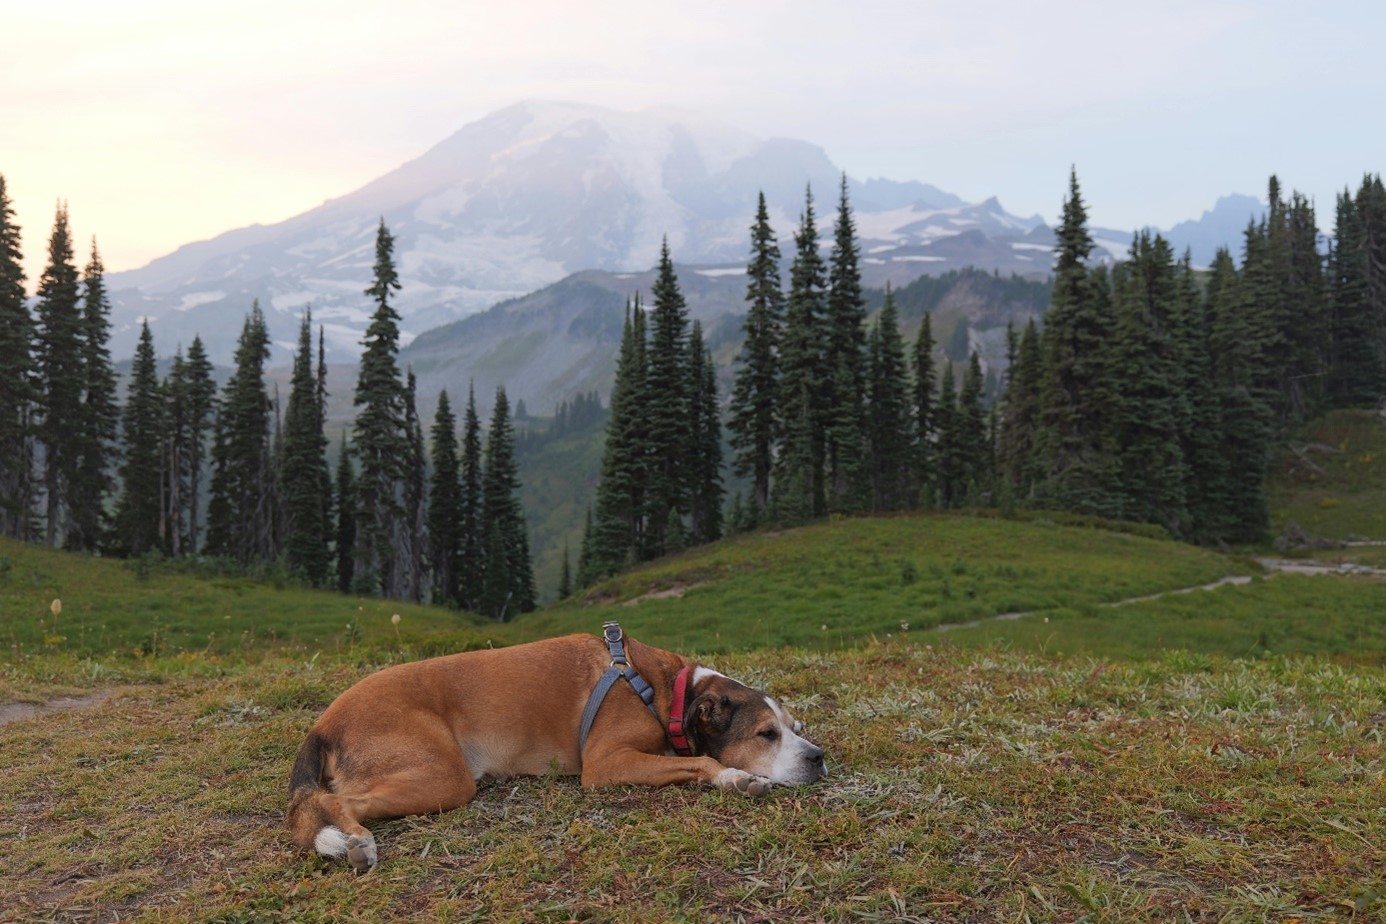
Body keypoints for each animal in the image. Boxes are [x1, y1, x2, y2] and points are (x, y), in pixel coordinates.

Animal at [282, 626, 820, 869]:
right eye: (765, 734)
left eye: (795, 726)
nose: (818, 758)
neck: (667, 691)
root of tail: (325, 721)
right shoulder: (604, 764)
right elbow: (703, 761)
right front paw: (736, 777)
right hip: (442, 778)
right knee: (332, 801)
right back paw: (356, 840)